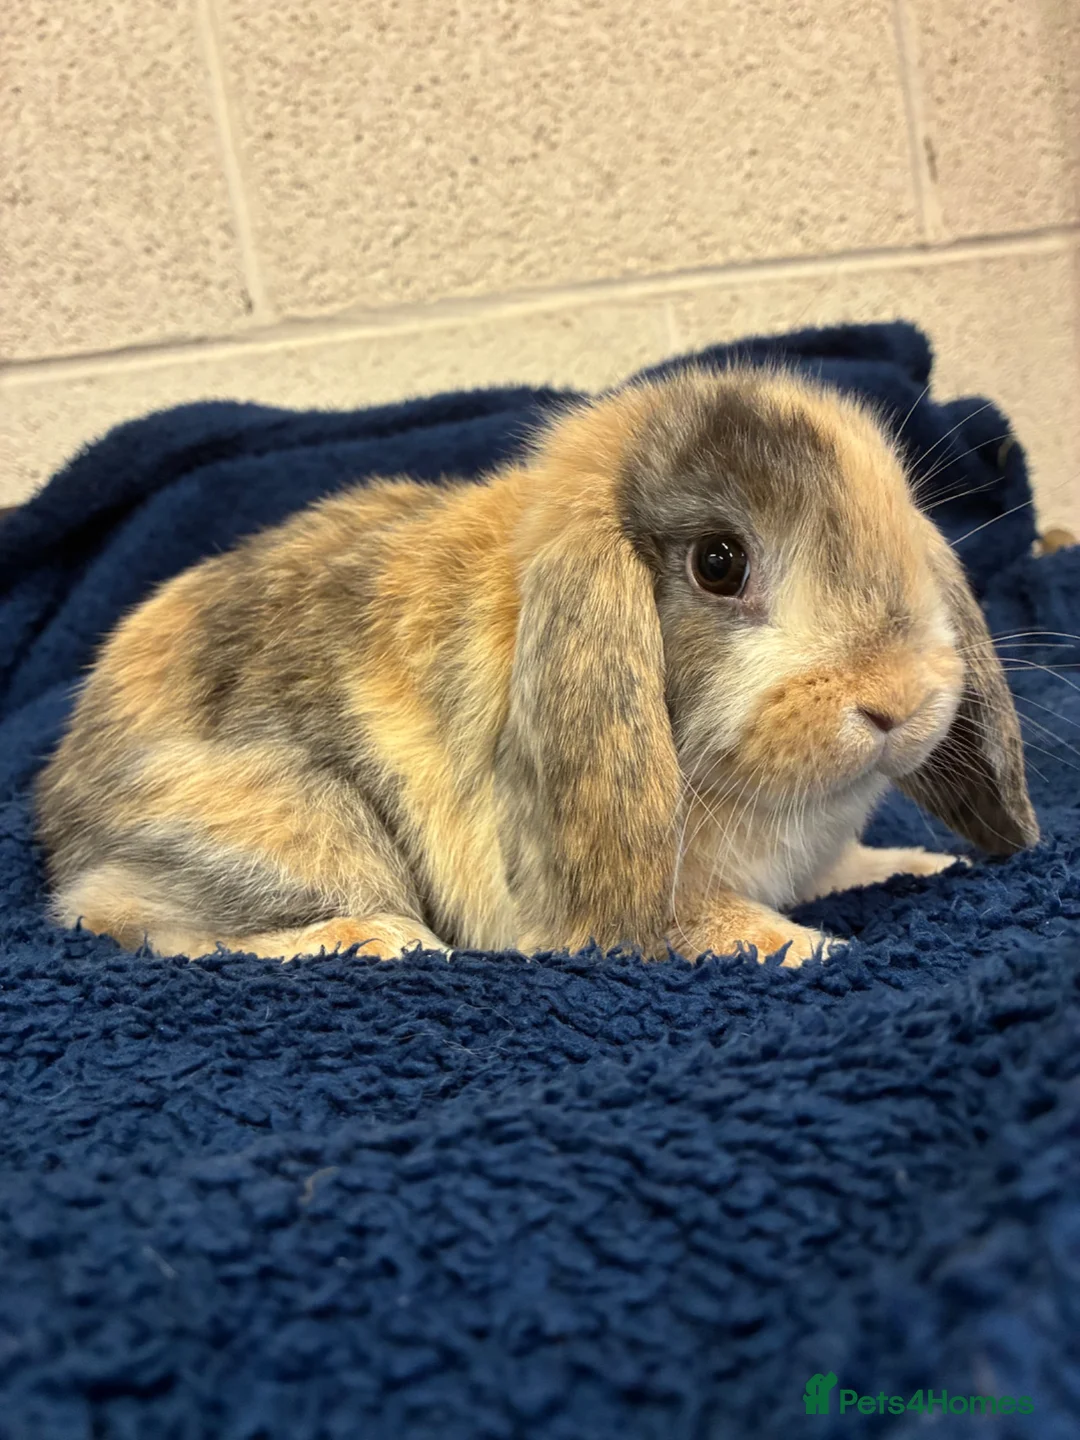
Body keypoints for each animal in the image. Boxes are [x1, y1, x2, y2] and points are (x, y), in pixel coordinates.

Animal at [35, 365, 1038, 966]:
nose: (896, 701)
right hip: (297, 831)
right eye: (719, 562)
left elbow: (850, 864)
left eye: (901, 517)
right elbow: (710, 921)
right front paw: (816, 949)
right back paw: (386, 943)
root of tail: (65, 811)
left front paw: (916, 861)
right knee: (131, 926)